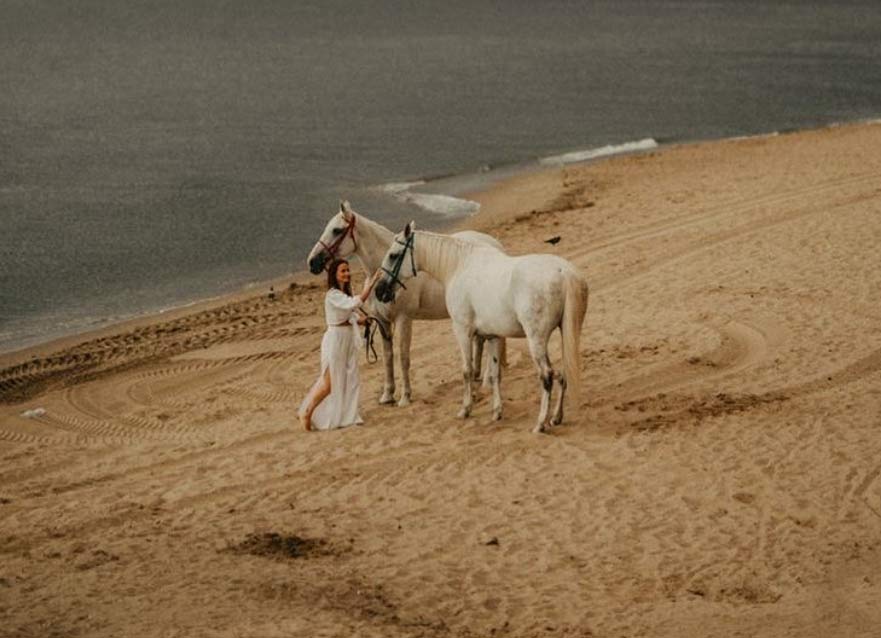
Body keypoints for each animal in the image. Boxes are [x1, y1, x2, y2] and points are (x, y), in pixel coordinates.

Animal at [307, 201, 506, 406]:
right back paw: (477, 376)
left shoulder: (404, 319)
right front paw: (387, 395)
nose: (312, 262)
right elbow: (387, 357)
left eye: (337, 230)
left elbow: (403, 357)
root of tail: (495, 246)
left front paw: (405, 397)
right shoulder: (382, 321)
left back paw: (486, 381)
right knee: (480, 340)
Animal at [375, 222, 588, 433]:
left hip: (536, 339)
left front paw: (465, 409)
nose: (379, 291)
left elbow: (467, 370)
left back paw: (540, 423)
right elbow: (494, 374)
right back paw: (556, 417)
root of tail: (564, 272)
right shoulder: (493, 336)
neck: (459, 266)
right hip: (564, 334)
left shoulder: (462, 331)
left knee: (547, 376)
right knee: (563, 374)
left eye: (393, 255)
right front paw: (497, 412)